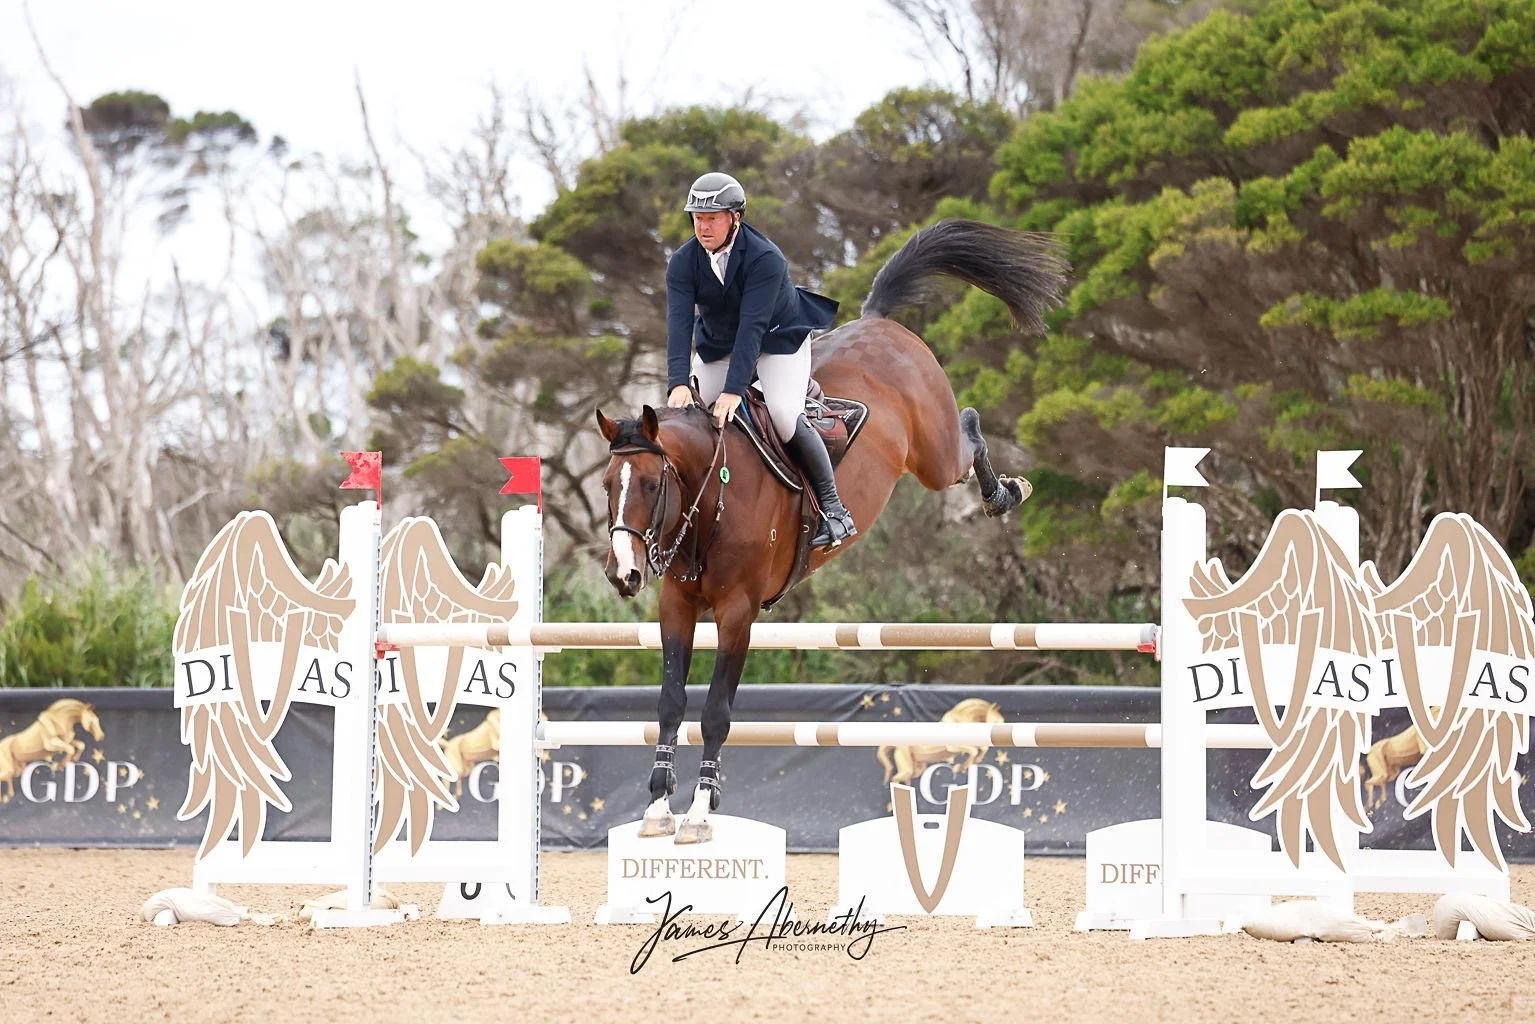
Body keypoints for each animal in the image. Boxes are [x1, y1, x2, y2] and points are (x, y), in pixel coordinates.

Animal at [594, 219, 1067, 843]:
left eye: (651, 484)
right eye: (607, 484)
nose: (622, 573)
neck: (709, 498)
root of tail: (879, 321)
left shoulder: (738, 612)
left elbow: (717, 710)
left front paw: (699, 811)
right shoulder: (676, 604)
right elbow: (671, 702)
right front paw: (655, 807)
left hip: (935, 457)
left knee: (968, 431)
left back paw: (1004, 494)